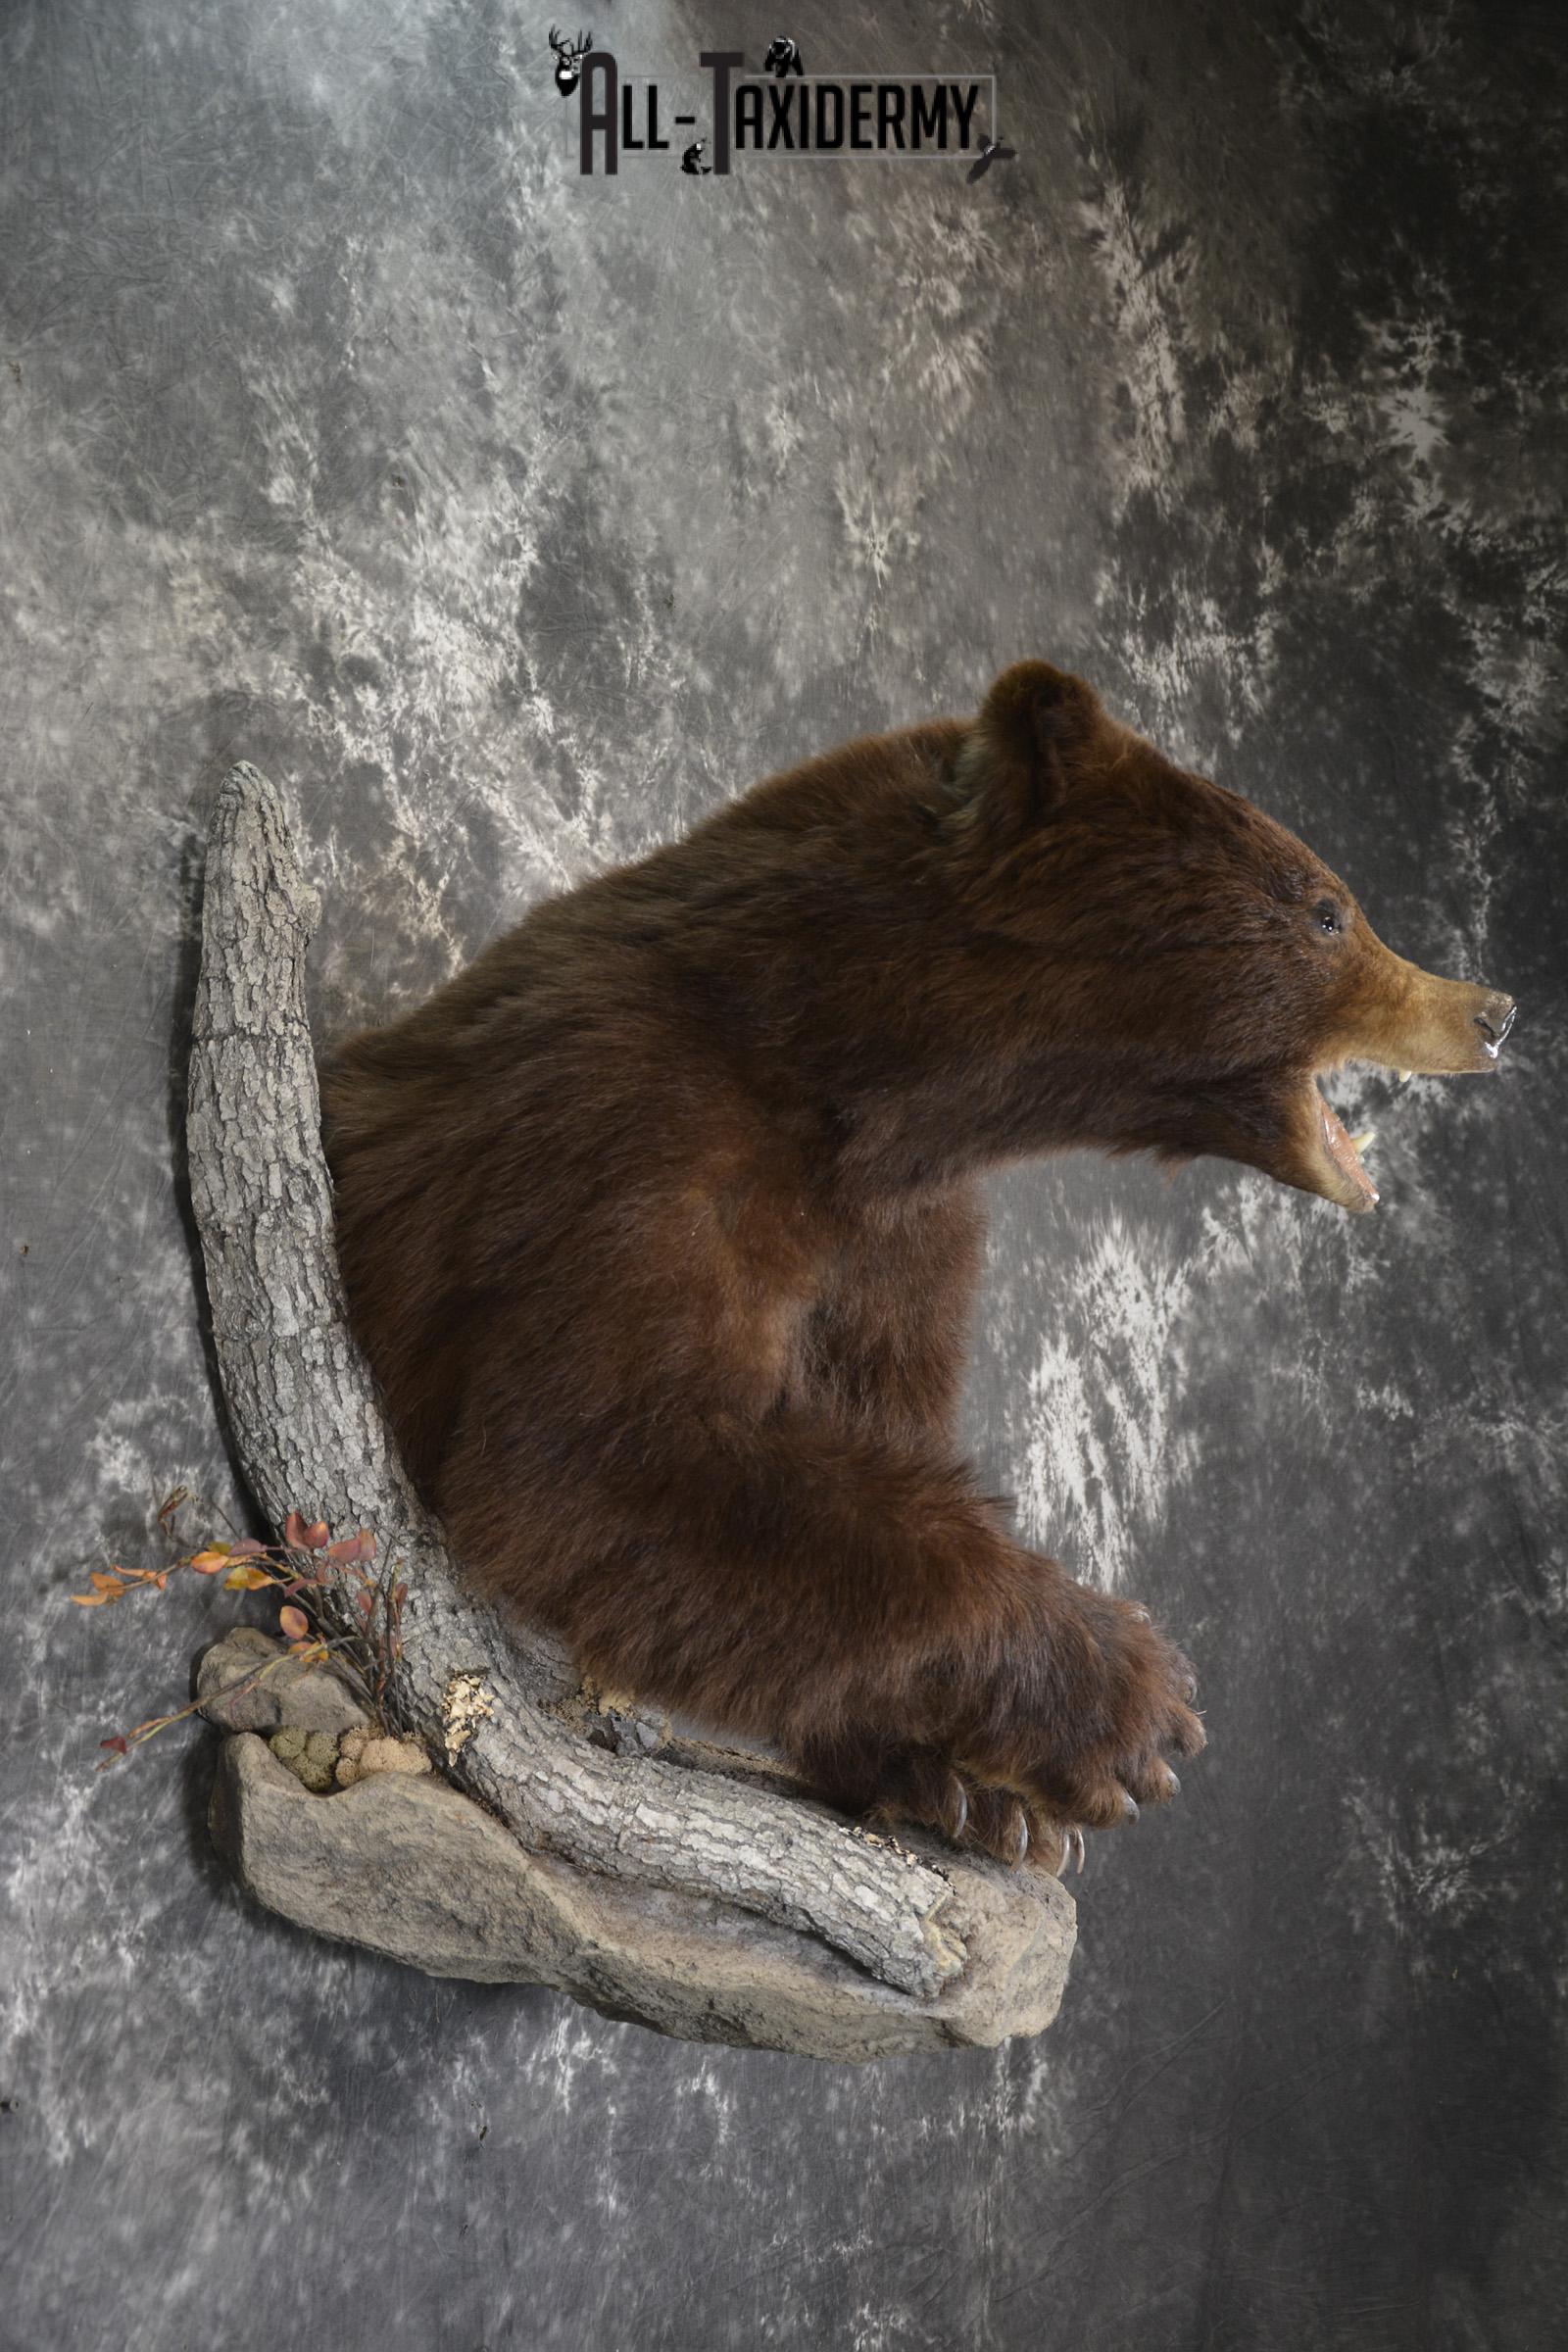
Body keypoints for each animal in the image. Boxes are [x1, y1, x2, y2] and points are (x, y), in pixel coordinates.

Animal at [319, 660, 1516, 1872]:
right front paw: (1124, 1699)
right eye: (1328, 909)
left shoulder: (901, 1241)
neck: (856, 1078)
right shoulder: (626, 1124)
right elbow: (597, 1455)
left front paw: (959, 1784)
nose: (1495, 1009)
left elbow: (861, 1434)